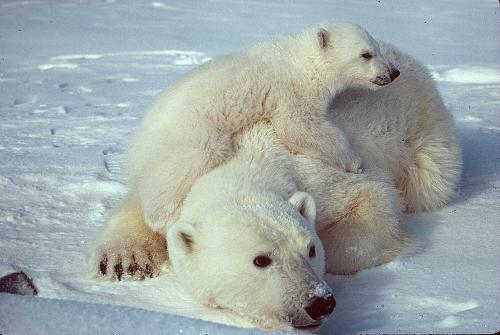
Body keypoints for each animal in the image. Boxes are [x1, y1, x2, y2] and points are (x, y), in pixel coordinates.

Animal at [130, 21, 402, 232]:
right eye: (366, 54)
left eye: (377, 48)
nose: (394, 72)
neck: (304, 59)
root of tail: (138, 141)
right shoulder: (293, 90)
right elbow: (298, 127)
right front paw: (354, 161)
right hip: (192, 132)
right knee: (187, 164)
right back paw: (164, 217)